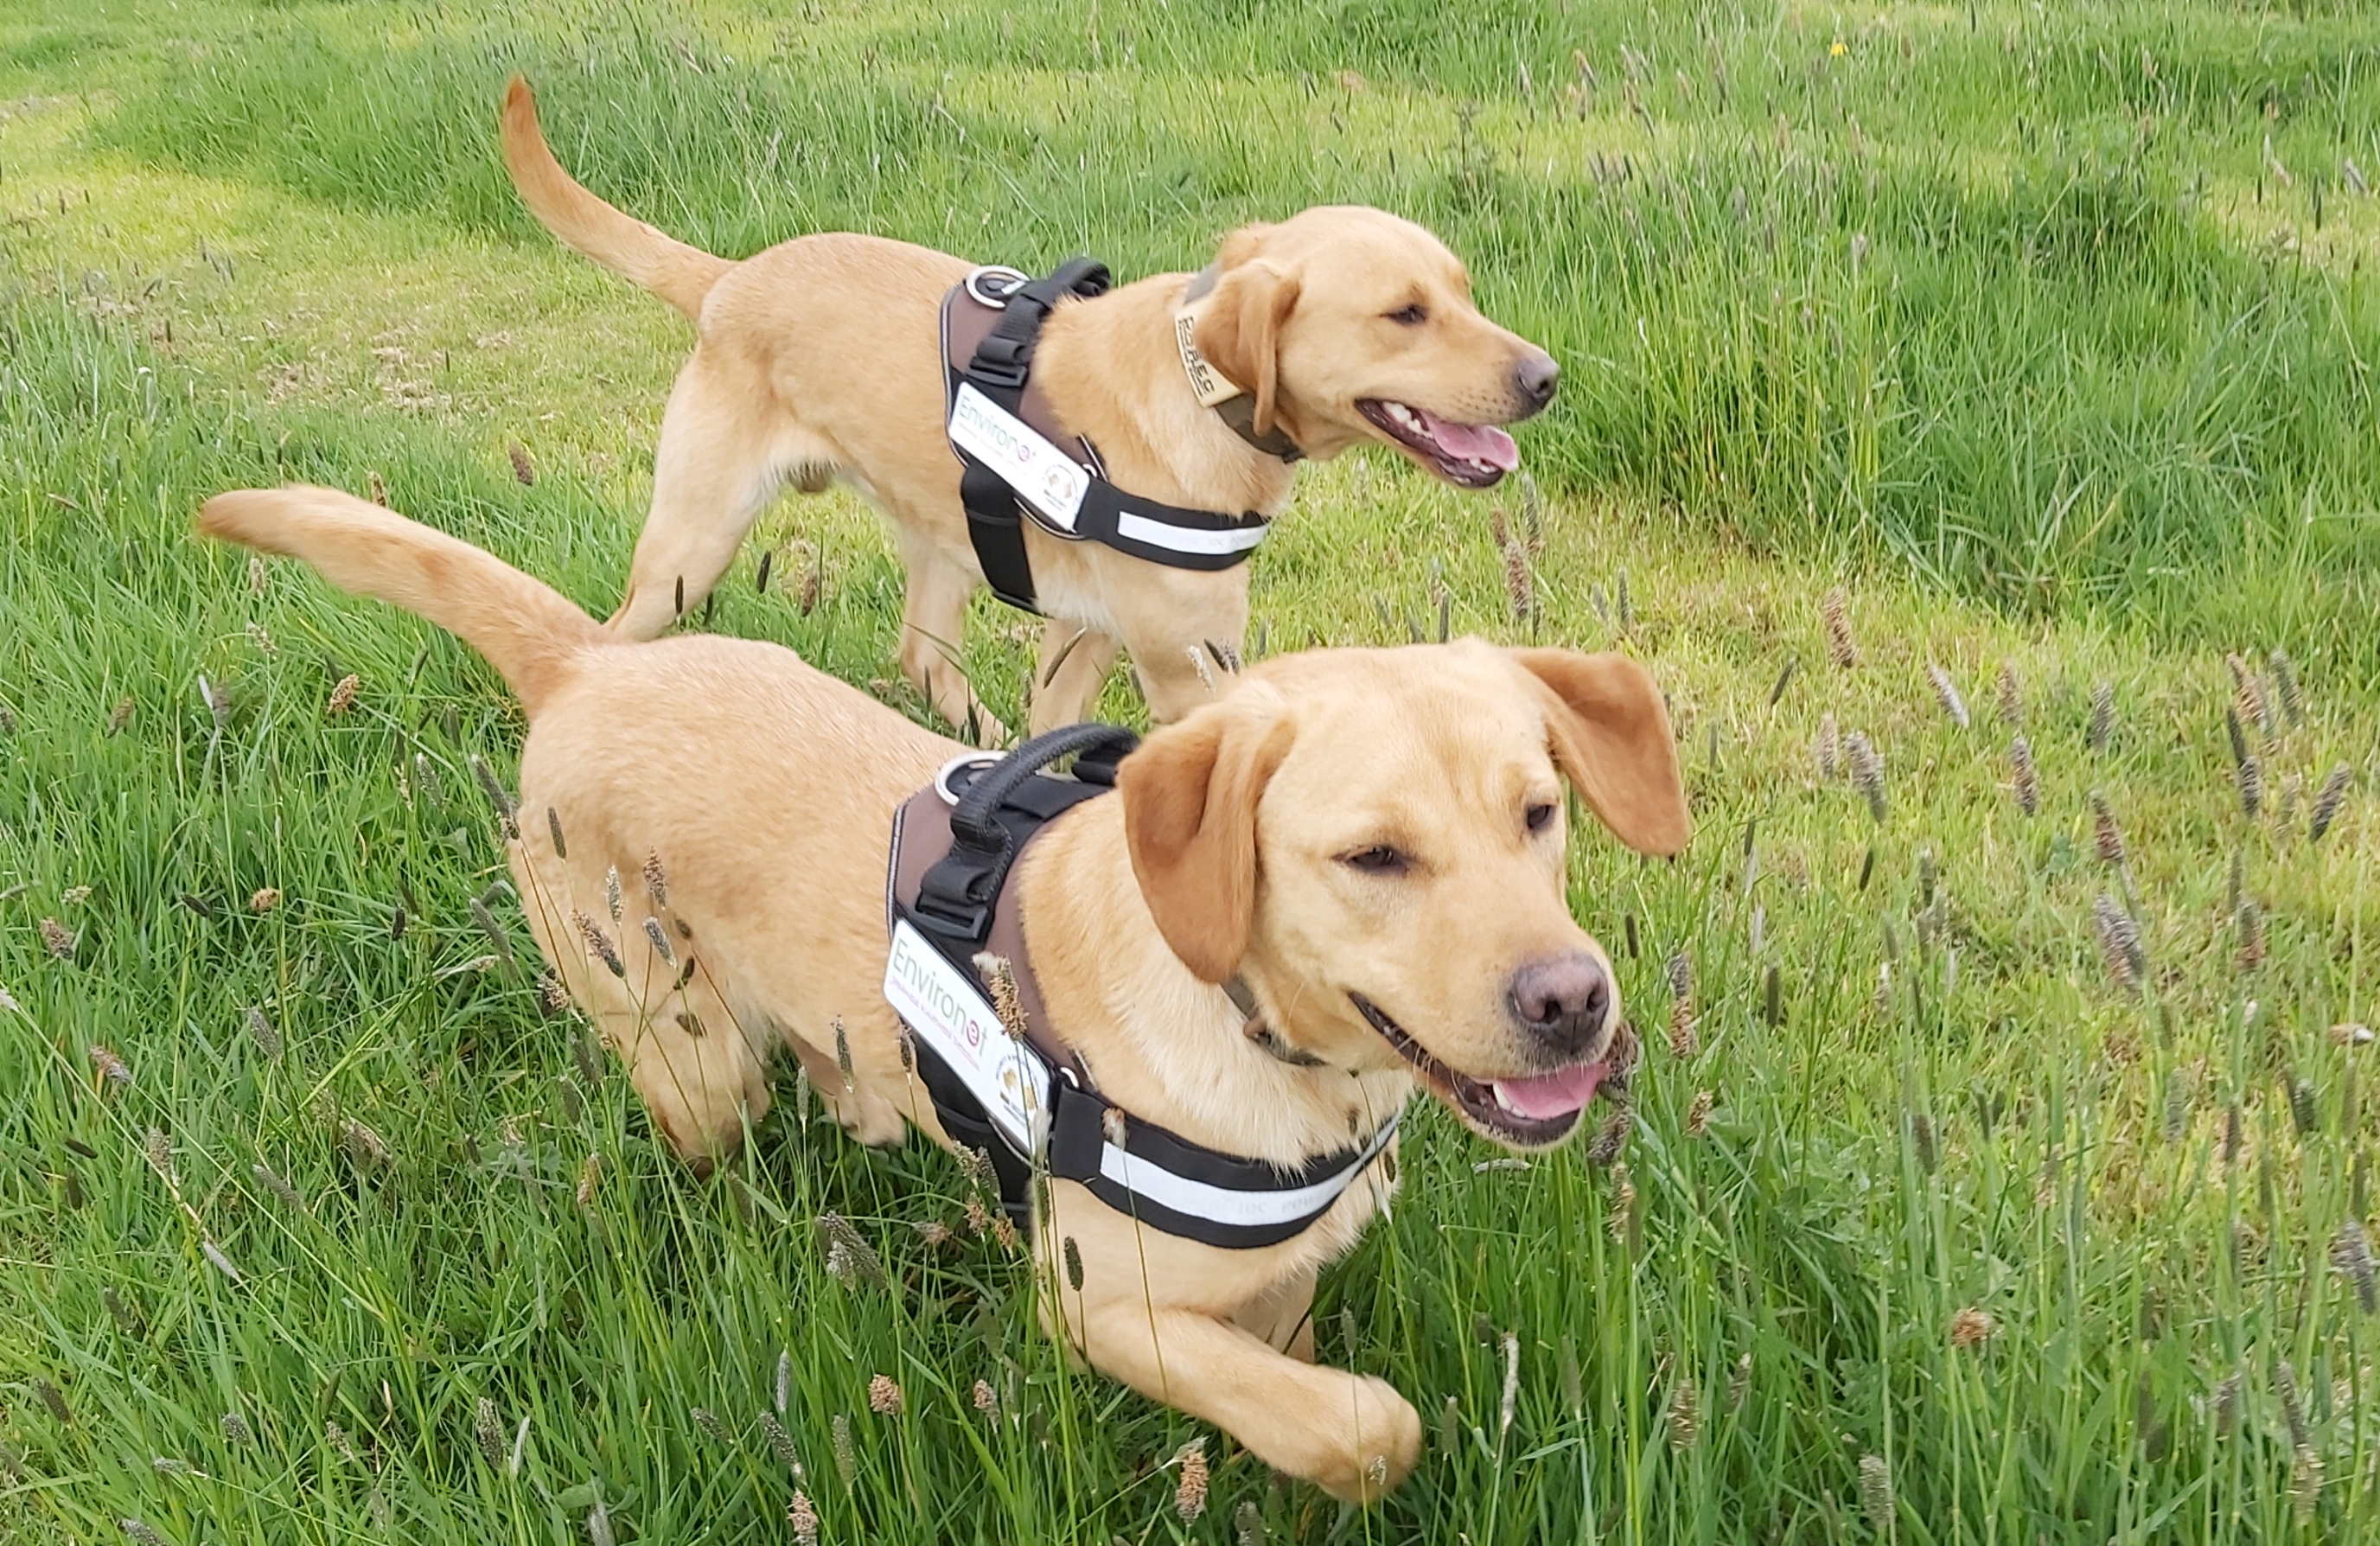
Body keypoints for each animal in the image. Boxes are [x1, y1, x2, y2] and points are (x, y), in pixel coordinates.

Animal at [200, 488, 1694, 1505]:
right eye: (1374, 857)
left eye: (1540, 814)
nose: (1575, 1003)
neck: (1265, 1047)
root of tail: (587, 663)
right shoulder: (1101, 1307)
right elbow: (1369, 1423)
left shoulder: (1277, 1286)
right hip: (688, 1055)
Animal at [497, 78, 1560, 743]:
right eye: (1404, 313)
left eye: (1463, 292)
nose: (1546, 377)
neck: (1198, 395)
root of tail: (730, 280)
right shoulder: (1187, 674)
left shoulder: (1083, 640)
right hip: (690, 552)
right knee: (609, 637)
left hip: (942, 544)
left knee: (926, 662)